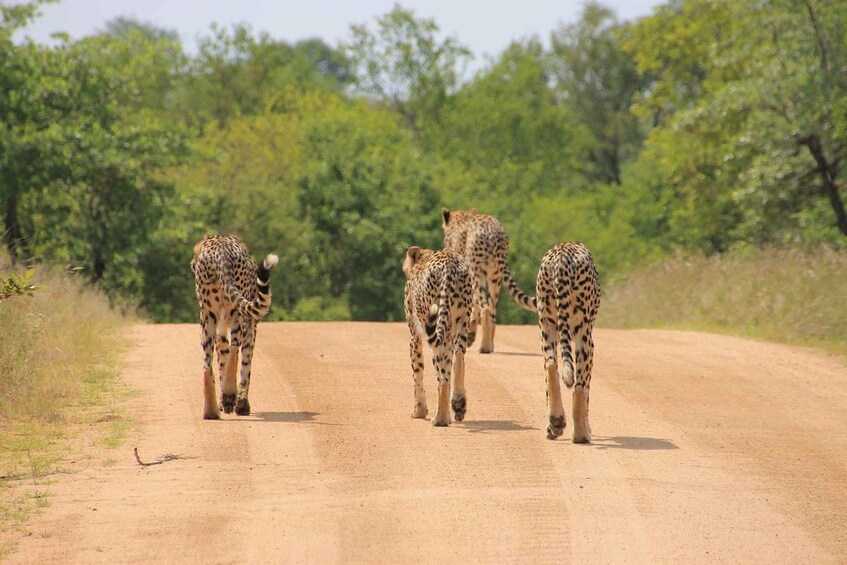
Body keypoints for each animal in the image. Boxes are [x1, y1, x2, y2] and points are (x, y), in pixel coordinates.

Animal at [190, 235, 278, 418]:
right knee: (234, 350)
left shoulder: (221, 329)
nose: (191, 263)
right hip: (238, 316)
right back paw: (230, 396)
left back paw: (210, 410)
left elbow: (223, 361)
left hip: (207, 318)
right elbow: (245, 365)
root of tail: (220, 249)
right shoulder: (251, 327)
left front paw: (226, 402)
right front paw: (240, 403)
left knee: (207, 363)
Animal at [402, 245, 474, 426]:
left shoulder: (414, 335)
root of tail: (450, 263)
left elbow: (417, 372)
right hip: (461, 321)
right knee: (458, 359)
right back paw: (458, 404)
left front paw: (419, 410)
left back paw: (440, 418)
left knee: (442, 375)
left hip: (436, 327)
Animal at [444, 208, 536, 352]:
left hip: (477, 273)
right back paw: (490, 344)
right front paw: (471, 334)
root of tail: (494, 233)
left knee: (486, 308)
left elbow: (473, 304)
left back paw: (485, 347)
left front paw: (470, 335)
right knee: (492, 310)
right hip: (495, 277)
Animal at [540, 240, 600, 442]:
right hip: (584, 335)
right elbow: (586, 388)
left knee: (551, 366)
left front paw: (552, 428)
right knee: (580, 385)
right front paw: (587, 427)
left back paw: (556, 421)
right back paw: (581, 434)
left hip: (547, 326)